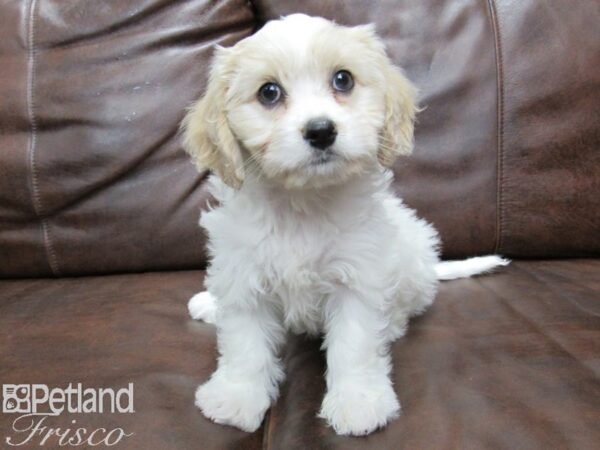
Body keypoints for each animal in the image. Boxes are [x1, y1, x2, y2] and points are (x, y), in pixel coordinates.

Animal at [182, 14, 506, 436]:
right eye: (269, 92)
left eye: (343, 80)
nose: (321, 130)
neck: (302, 204)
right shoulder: (242, 273)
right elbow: (244, 345)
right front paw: (236, 397)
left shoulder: (359, 278)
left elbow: (354, 346)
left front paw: (358, 402)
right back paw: (209, 303)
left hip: (412, 251)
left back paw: (394, 323)